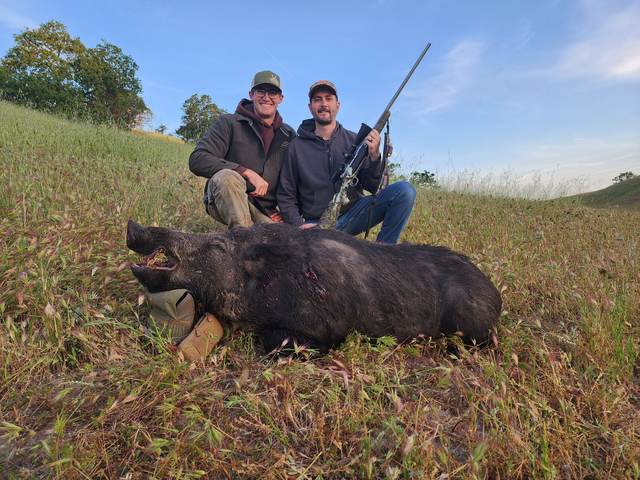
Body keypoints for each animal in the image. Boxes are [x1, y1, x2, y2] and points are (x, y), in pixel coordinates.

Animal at [127, 220, 501, 353]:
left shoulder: (324, 327)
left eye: (218, 246)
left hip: (473, 330)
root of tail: (495, 294)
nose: (135, 226)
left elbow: (274, 343)